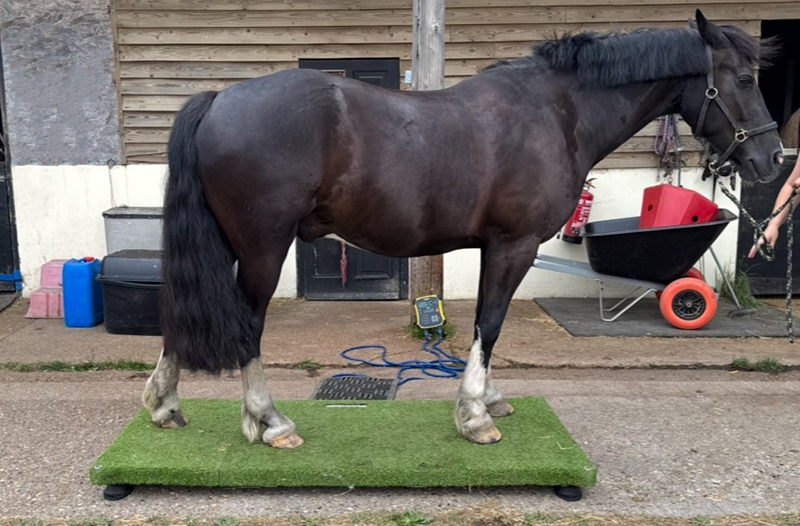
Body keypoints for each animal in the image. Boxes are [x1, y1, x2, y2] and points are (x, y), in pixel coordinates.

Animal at [142, 11, 783, 448]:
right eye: (744, 80)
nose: (773, 160)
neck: (557, 114)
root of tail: (219, 98)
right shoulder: (512, 246)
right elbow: (490, 324)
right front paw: (475, 414)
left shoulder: (492, 248)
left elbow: (483, 323)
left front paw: (490, 401)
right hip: (263, 247)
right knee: (246, 326)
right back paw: (270, 423)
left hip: (229, 245)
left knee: (181, 313)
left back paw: (165, 405)